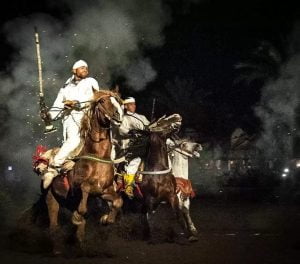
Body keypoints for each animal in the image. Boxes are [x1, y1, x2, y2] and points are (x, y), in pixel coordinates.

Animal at [42, 90, 123, 254]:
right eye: (103, 101)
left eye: (117, 101)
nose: (119, 115)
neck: (98, 157)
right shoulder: (79, 187)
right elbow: (83, 198)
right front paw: (77, 218)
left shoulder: (104, 191)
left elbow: (118, 201)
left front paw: (107, 219)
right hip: (51, 199)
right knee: (53, 227)